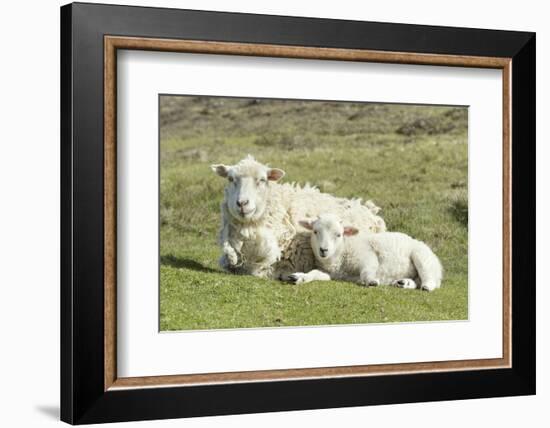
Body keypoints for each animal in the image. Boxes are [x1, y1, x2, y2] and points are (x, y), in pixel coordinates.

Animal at [294, 213, 444, 290]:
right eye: (315, 231)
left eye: (338, 235)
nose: (323, 250)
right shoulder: (330, 273)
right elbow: (314, 273)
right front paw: (301, 277)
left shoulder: (367, 255)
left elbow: (367, 271)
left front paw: (371, 281)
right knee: (417, 281)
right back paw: (403, 283)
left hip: (422, 256)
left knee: (429, 278)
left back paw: (426, 286)